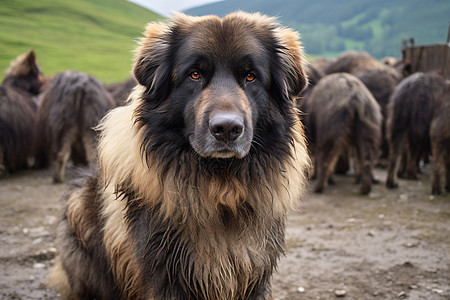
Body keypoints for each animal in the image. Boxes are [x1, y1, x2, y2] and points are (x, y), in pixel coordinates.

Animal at [49, 12, 310, 300]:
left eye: (251, 77)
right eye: (194, 74)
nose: (227, 129)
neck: (221, 190)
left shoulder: (254, 273)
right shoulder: (167, 275)